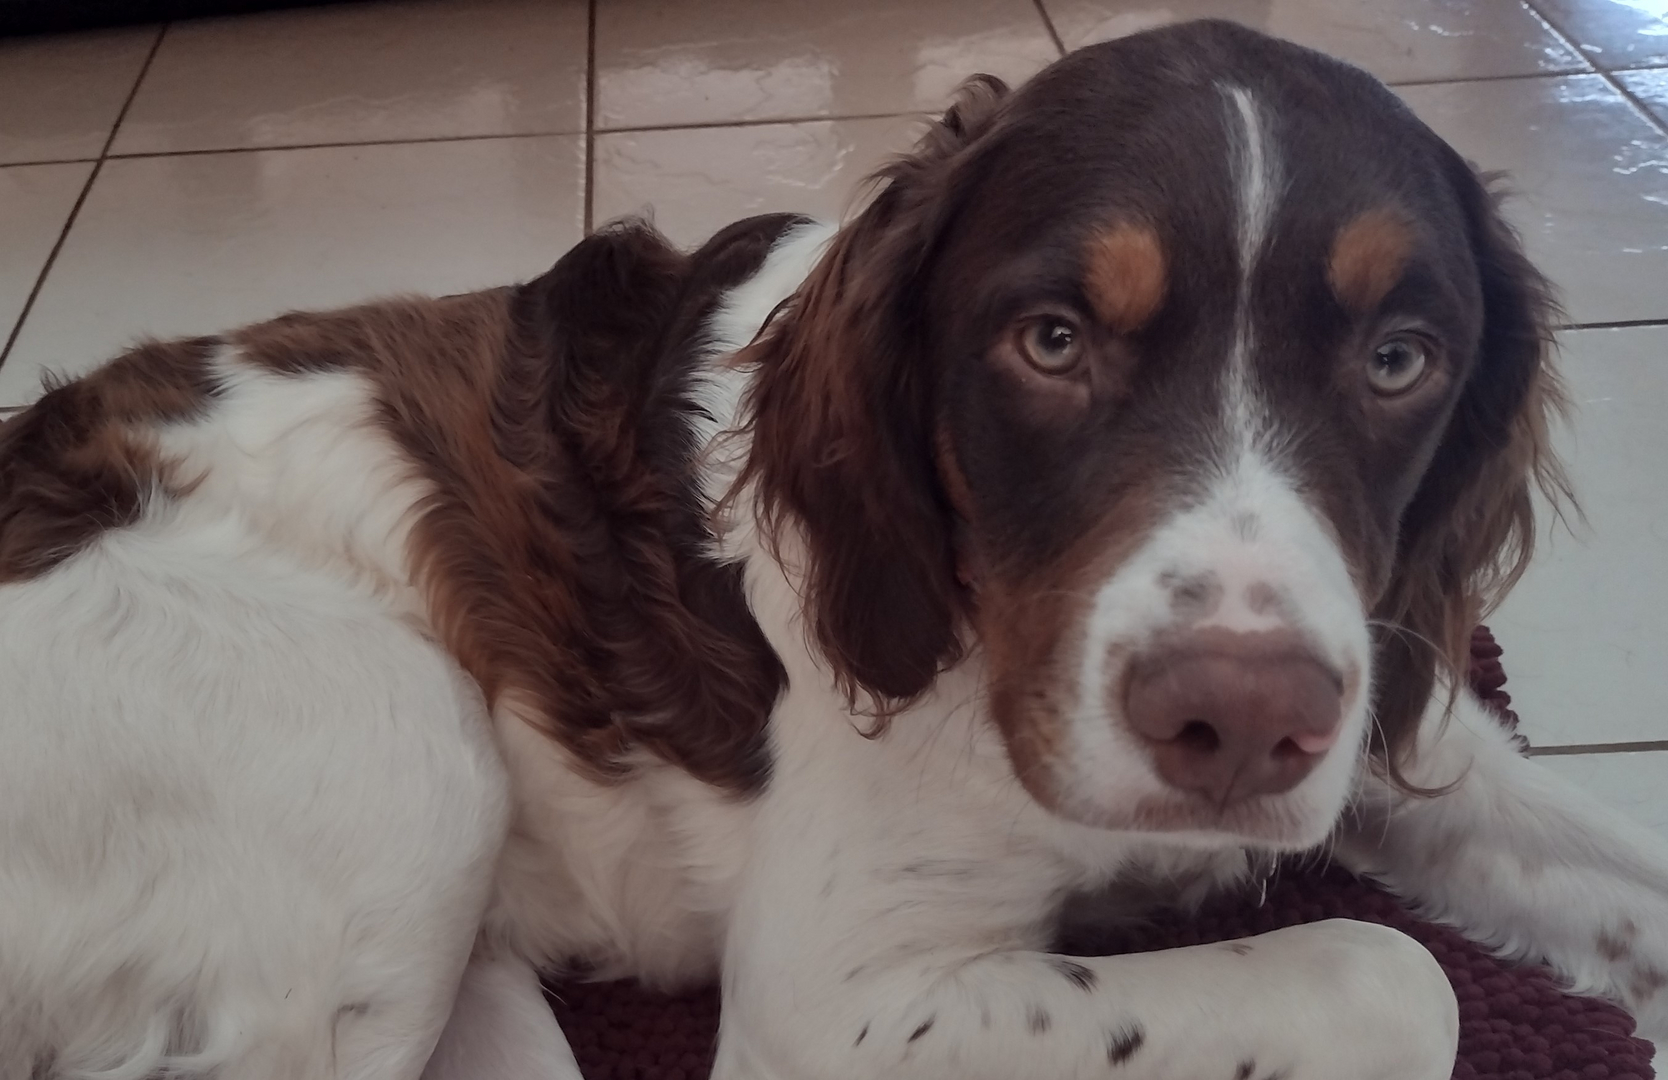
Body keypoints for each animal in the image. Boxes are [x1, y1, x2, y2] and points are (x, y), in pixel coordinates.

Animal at [3, 16, 1668, 1080]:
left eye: (1400, 360)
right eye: (1049, 340)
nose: (1242, 724)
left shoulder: (1377, 697)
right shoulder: (835, 1006)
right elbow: (1398, 974)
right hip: (400, 747)